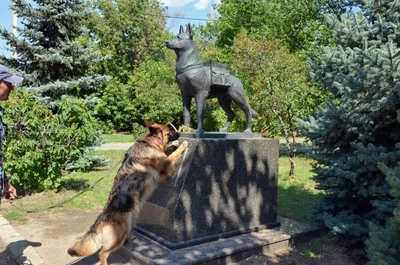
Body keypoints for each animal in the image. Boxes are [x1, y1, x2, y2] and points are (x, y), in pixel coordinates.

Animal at [67, 120, 189, 264]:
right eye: (169, 131)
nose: (180, 133)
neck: (148, 143)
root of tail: (101, 219)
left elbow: (168, 151)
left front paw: (174, 144)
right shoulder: (165, 165)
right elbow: (172, 155)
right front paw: (182, 144)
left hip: (130, 221)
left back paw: (129, 238)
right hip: (120, 232)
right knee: (102, 253)